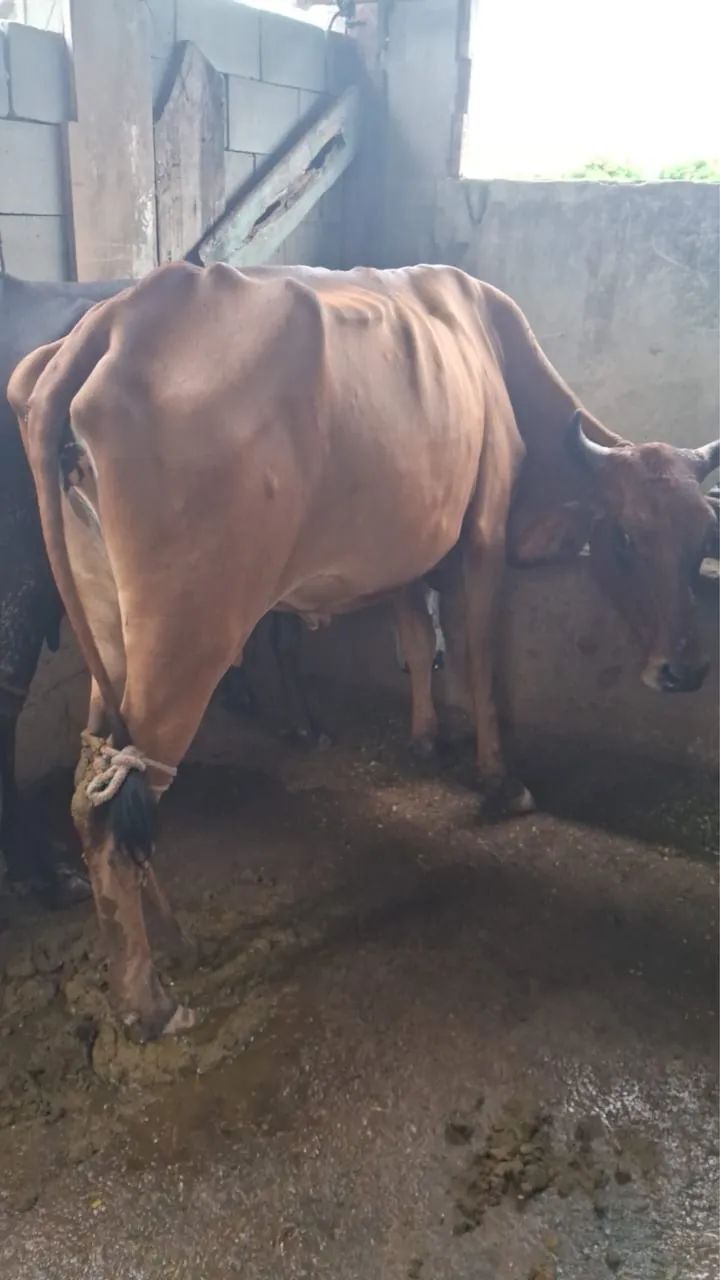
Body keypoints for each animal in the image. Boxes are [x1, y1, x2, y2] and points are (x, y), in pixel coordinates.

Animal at [9, 261, 717, 1039]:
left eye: (702, 540)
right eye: (626, 537)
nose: (685, 669)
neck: (493, 356)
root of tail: (114, 319)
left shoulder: (411, 549)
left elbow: (414, 635)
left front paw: (425, 737)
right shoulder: (484, 531)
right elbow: (476, 658)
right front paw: (500, 778)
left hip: (110, 634)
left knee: (90, 789)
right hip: (186, 638)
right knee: (114, 811)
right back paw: (150, 1002)